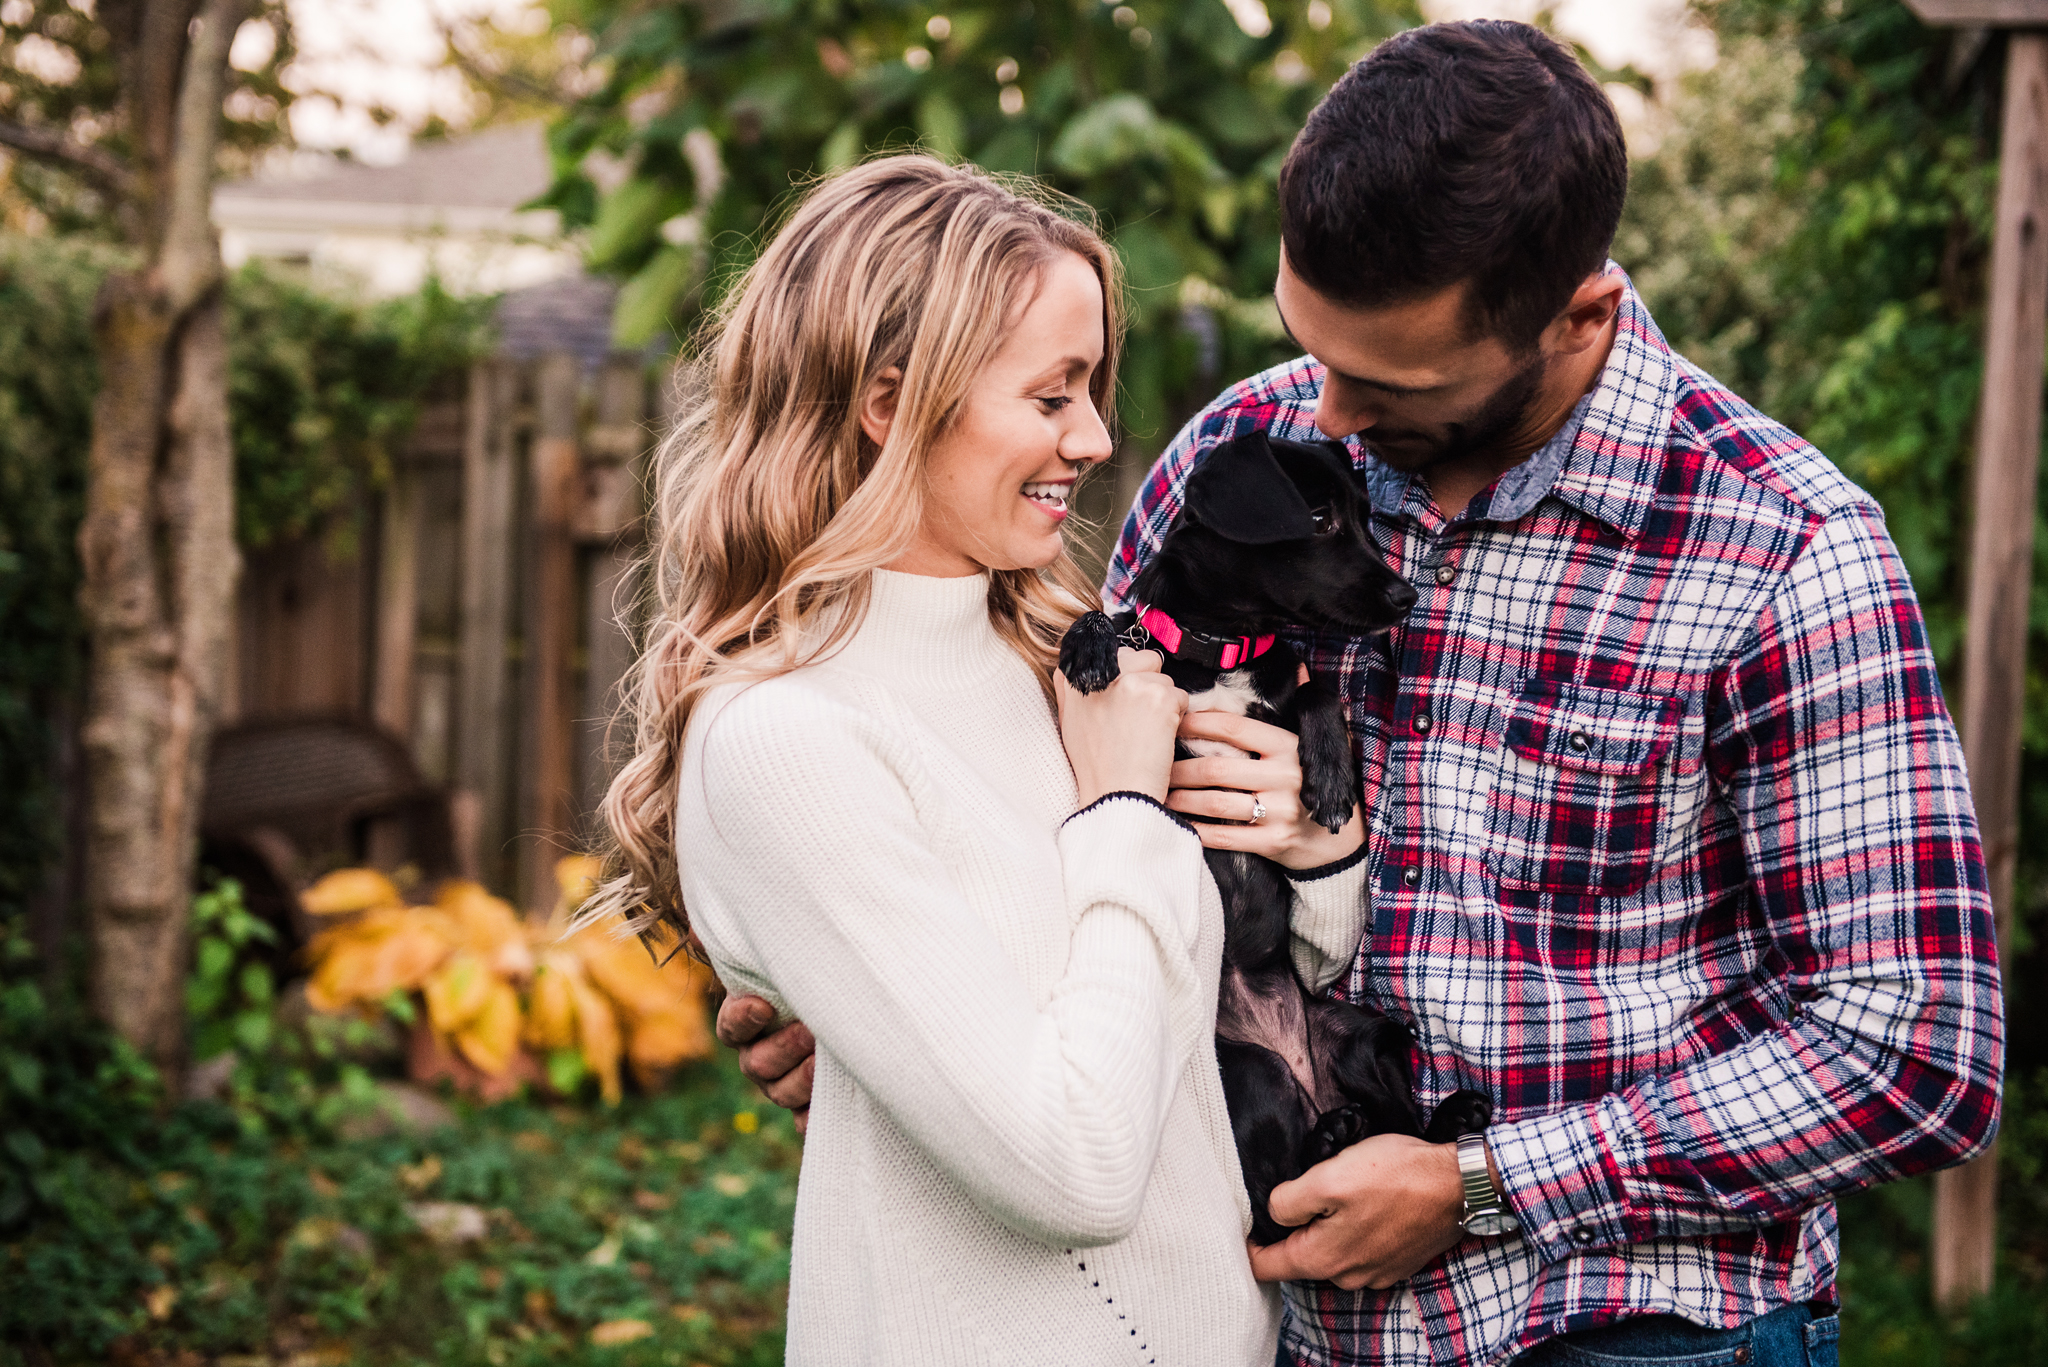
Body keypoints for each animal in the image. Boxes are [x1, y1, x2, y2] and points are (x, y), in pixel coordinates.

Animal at [1056, 432, 1490, 1246]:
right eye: (1319, 519)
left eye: (1363, 517)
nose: (1405, 596)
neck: (1224, 650)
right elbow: (1113, 624)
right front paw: (1089, 647)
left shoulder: (1284, 696)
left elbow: (1316, 691)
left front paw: (1329, 779)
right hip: (1251, 1072)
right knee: (1270, 1202)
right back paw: (1330, 1137)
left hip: (1361, 1031)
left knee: (1389, 1132)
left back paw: (1437, 1117)